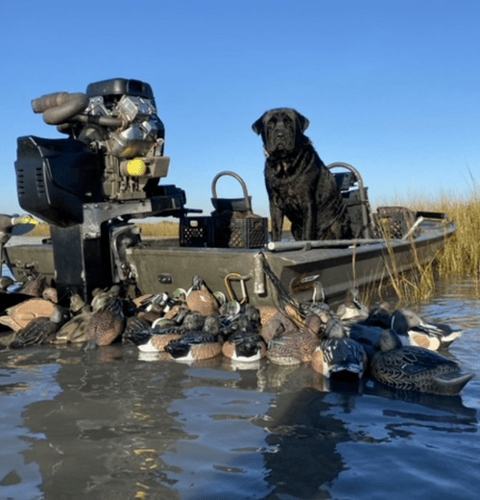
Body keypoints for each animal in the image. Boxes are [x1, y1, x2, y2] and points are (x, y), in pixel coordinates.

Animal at [253, 109, 350, 242]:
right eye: (270, 124)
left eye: (289, 123)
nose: (280, 134)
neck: (284, 163)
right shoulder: (274, 202)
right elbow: (276, 229)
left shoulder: (307, 201)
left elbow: (308, 232)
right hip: (294, 227)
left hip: (338, 223)